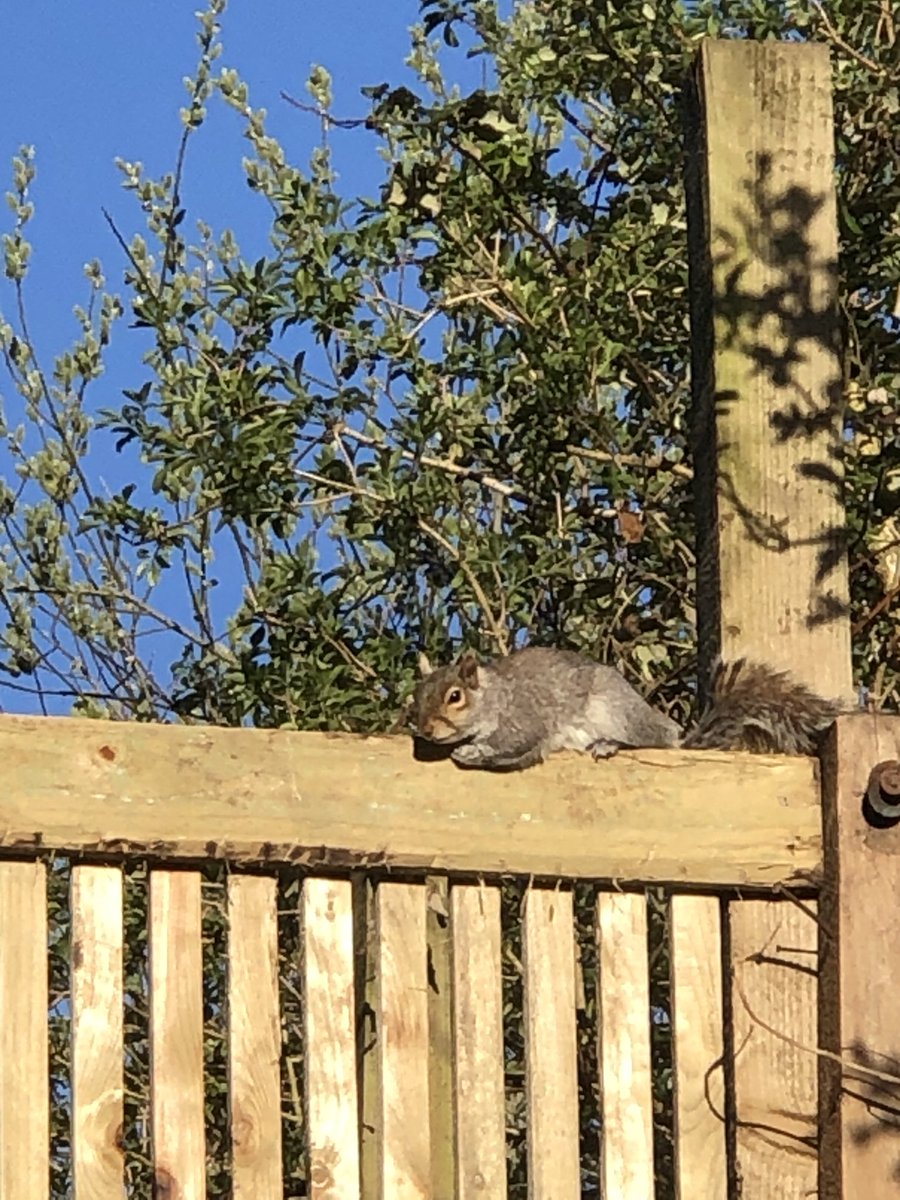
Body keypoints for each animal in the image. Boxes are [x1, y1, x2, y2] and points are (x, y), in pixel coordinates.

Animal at [411, 647, 842, 770]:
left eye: (455, 696)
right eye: (417, 696)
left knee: (659, 742)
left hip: (616, 713)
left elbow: (512, 744)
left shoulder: (524, 718)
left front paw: (471, 751)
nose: (426, 730)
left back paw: (610, 745)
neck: (495, 697)